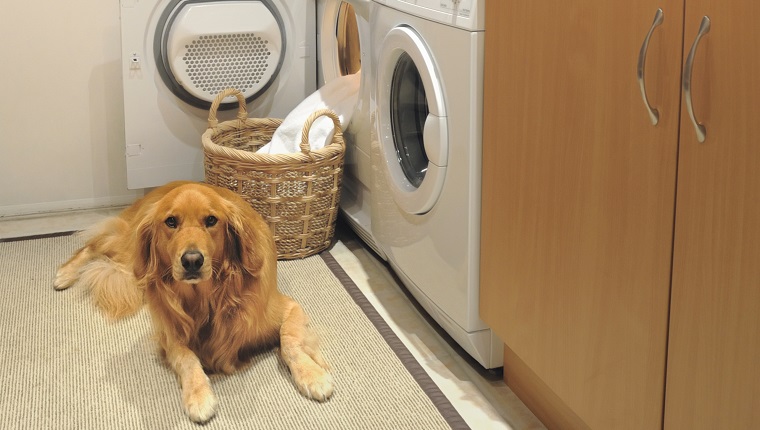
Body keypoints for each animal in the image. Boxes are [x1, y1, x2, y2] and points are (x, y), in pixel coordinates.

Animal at [55, 181, 334, 424]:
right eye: (171, 221)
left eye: (211, 220)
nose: (191, 260)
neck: (210, 297)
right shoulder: (170, 333)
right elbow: (187, 358)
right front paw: (199, 396)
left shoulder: (287, 308)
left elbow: (290, 341)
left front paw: (313, 375)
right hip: (129, 254)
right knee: (92, 245)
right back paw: (64, 274)